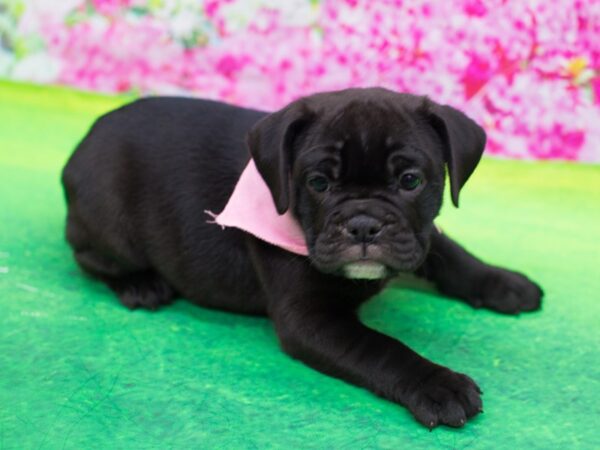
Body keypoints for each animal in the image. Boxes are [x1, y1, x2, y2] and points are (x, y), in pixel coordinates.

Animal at [62, 88, 544, 428]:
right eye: (317, 183)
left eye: (410, 180)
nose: (364, 223)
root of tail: (84, 142)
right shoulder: (310, 320)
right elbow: (382, 348)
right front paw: (438, 384)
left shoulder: (419, 235)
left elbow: (450, 253)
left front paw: (503, 282)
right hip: (110, 223)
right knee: (89, 257)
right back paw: (140, 284)